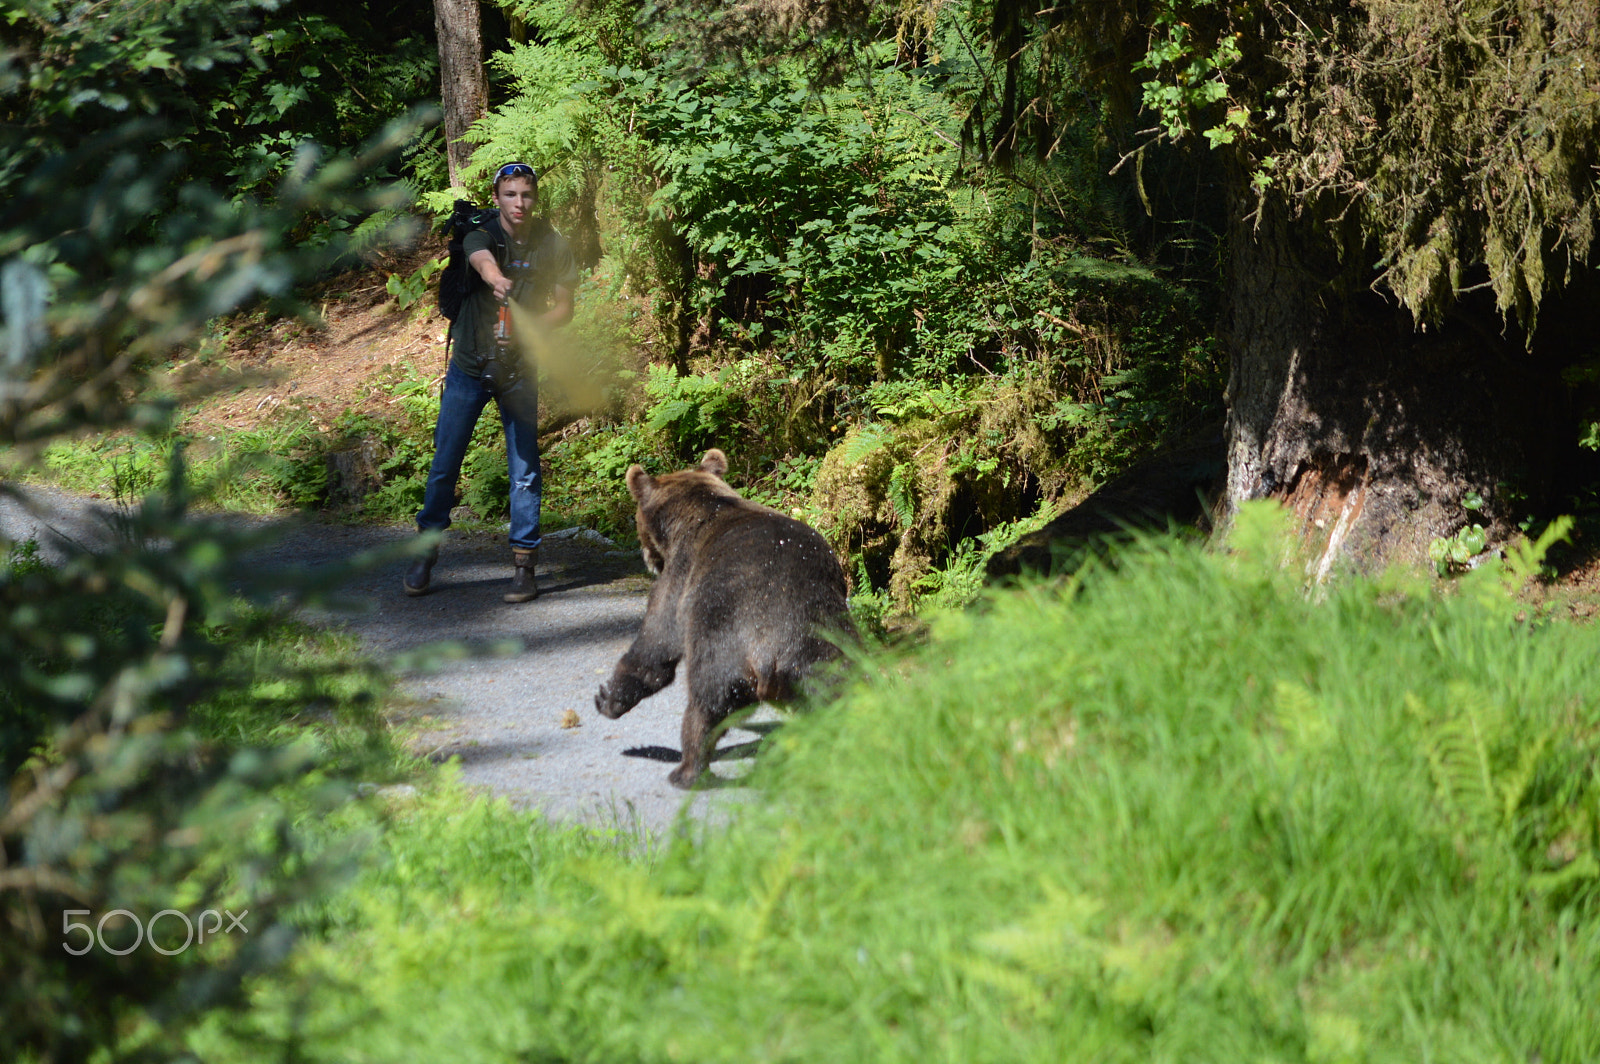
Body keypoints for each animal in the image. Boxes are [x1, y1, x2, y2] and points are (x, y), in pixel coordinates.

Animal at [594, 448, 852, 788]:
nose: (648, 558)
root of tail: (768, 656)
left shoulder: (681, 579)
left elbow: (656, 644)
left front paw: (609, 698)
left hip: (724, 642)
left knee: (706, 704)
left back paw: (686, 770)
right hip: (822, 648)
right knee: (840, 692)